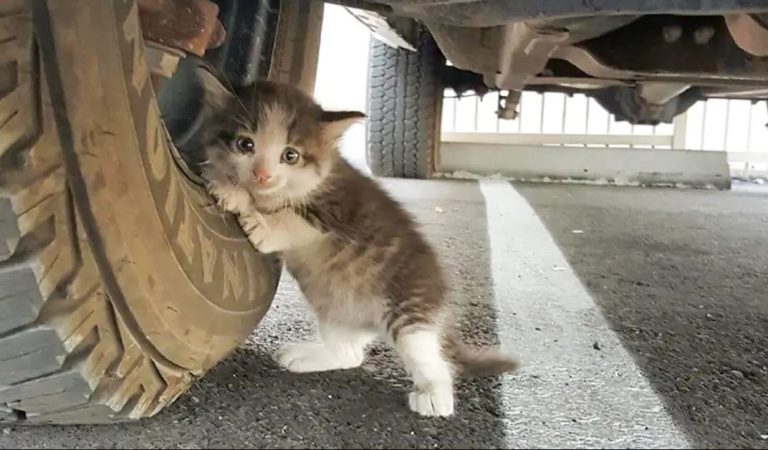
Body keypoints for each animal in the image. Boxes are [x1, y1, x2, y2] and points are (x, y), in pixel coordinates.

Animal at [194, 67, 516, 418]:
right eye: (245, 144)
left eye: (290, 155)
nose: (262, 174)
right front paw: (227, 183)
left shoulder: (341, 210)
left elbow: (292, 218)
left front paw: (254, 212)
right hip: (335, 309)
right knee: (350, 354)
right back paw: (308, 356)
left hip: (409, 306)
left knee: (429, 356)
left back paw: (435, 395)